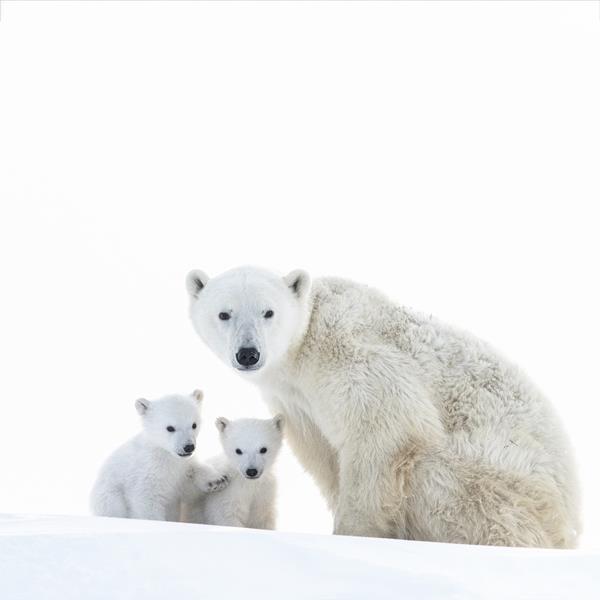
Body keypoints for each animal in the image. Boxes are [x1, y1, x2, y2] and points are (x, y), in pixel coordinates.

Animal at [90, 390, 229, 520]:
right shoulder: (147, 472)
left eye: (194, 424)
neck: (164, 453)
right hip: (109, 497)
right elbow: (146, 500)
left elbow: (188, 482)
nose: (188, 447)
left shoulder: (179, 469)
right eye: (170, 428)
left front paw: (217, 481)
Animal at [185, 264, 580, 548]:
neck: (304, 347)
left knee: (437, 475)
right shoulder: (296, 400)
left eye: (268, 312)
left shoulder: (351, 351)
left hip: (501, 484)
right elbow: (323, 453)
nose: (248, 354)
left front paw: (352, 532)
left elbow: (386, 429)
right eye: (224, 314)